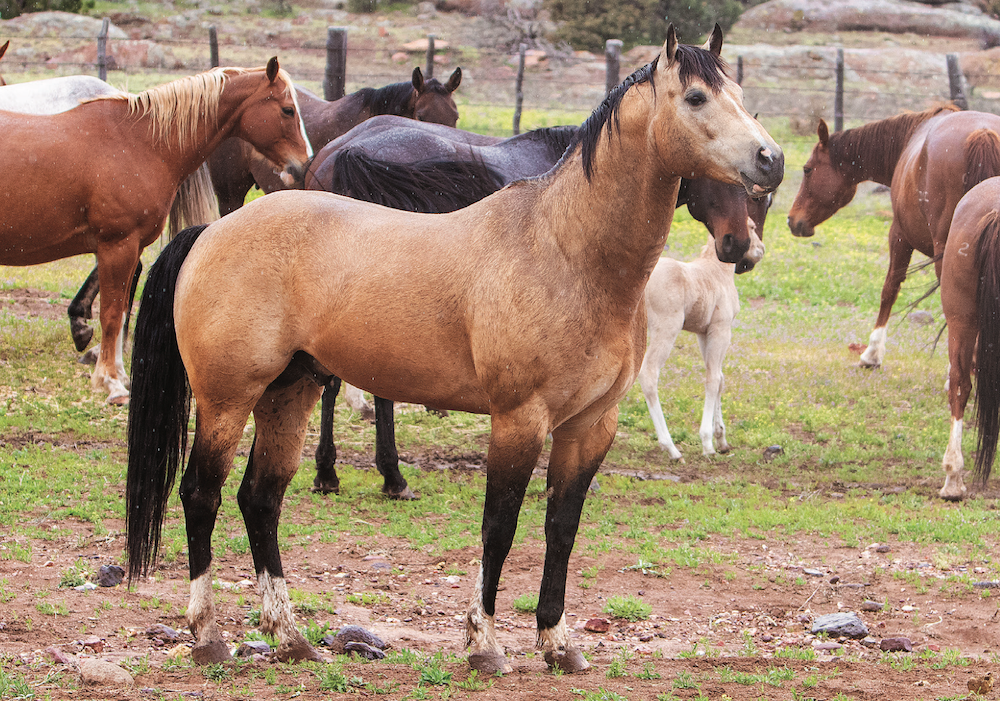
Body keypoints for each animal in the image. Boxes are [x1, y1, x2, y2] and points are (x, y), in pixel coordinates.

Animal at [0, 58, 311, 404]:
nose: (302, 166)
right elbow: (111, 314)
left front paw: (117, 373)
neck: (140, 142)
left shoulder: (131, 246)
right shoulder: (116, 245)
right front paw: (110, 382)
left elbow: (123, 308)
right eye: (287, 110)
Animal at [638, 218, 767, 460]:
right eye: (753, 226)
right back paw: (671, 448)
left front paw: (722, 440)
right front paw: (708, 443)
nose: (760, 249)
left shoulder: (702, 333)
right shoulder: (721, 329)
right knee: (648, 374)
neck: (717, 271)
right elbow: (713, 379)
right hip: (666, 329)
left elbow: (720, 378)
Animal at [786, 106, 1000, 387]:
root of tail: (982, 133)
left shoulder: (898, 235)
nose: (792, 220)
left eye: (807, 169)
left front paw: (872, 354)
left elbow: (889, 289)